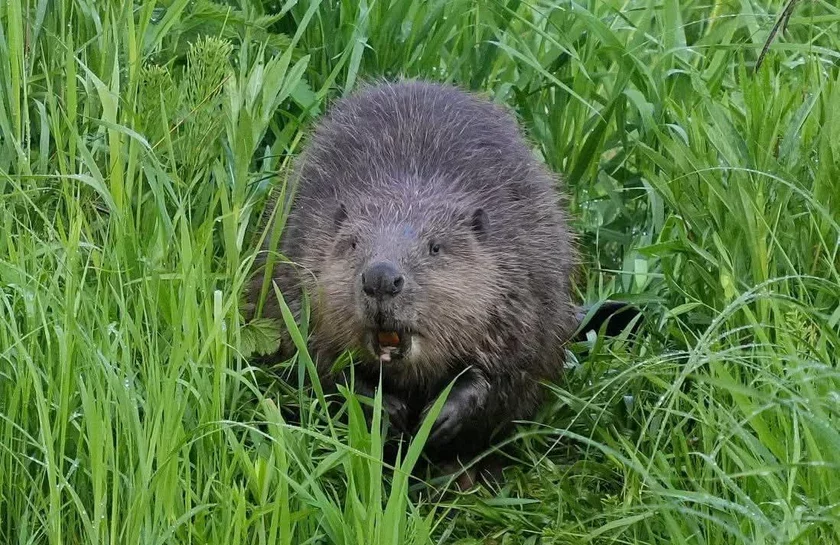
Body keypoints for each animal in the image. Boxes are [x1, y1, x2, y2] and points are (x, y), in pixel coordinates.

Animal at [248, 79, 583, 480]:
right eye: (352, 242)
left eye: (435, 246)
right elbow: (316, 358)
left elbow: (507, 367)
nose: (381, 278)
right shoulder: (298, 263)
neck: (410, 192)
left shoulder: (520, 284)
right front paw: (386, 409)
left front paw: (440, 414)